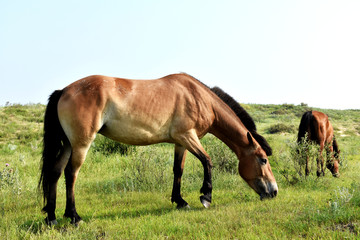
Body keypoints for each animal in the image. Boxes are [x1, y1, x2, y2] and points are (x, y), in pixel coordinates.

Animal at [38, 72, 278, 225]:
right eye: (263, 159)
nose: (274, 192)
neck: (198, 96)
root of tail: (63, 91)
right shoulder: (187, 136)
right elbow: (207, 161)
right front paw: (206, 196)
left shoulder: (181, 142)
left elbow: (178, 170)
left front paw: (180, 201)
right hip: (81, 144)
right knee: (71, 174)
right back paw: (74, 216)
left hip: (68, 144)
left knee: (55, 172)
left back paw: (52, 217)